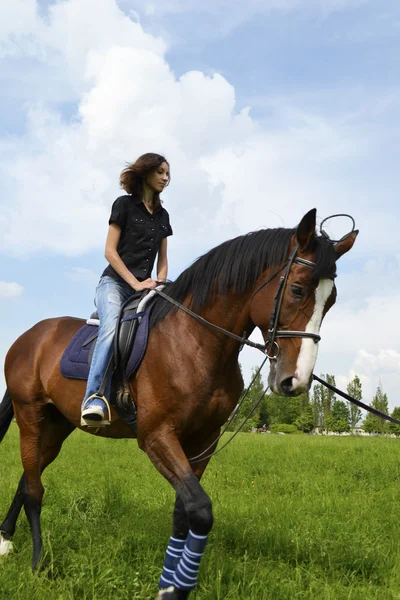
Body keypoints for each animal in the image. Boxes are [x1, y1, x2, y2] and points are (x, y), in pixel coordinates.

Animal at [0, 209, 356, 596]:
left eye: (332, 300)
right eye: (297, 289)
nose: (297, 380)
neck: (194, 341)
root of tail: (28, 337)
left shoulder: (203, 440)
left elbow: (183, 513)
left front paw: (170, 583)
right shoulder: (157, 436)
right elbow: (199, 509)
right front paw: (178, 587)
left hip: (56, 426)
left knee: (28, 477)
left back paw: (5, 539)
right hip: (30, 416)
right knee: (34, 490)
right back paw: (38, 562)